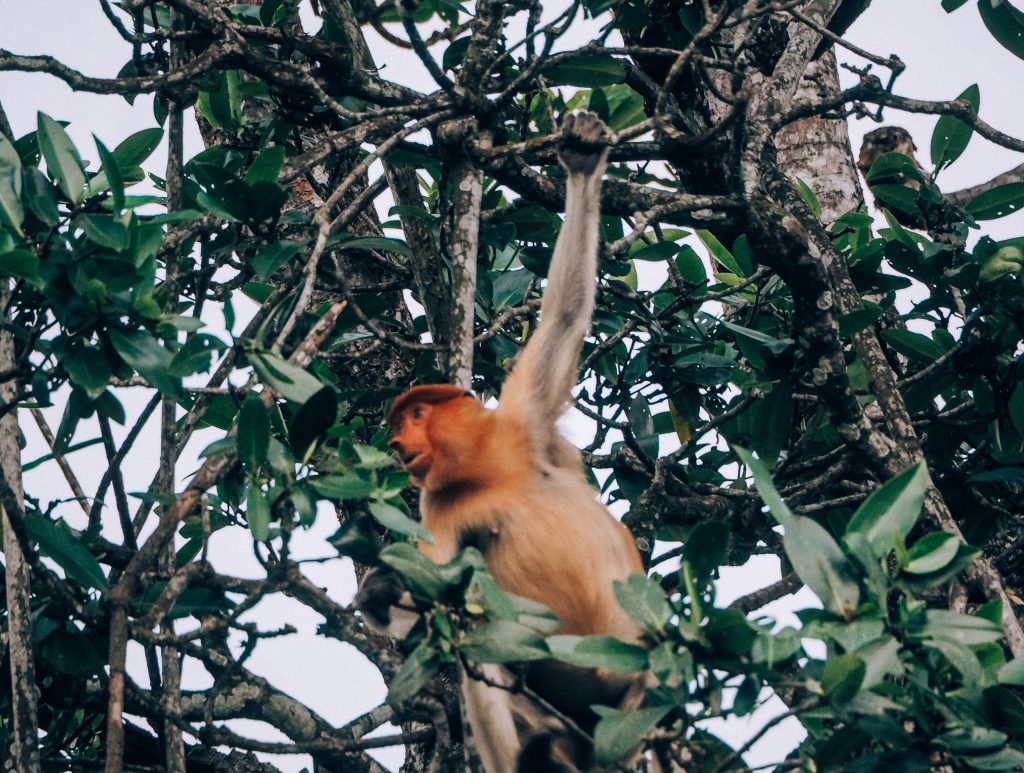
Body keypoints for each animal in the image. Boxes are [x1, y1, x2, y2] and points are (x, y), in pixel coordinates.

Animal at [356, 112, 647, 772]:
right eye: (400, 424)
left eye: (416, 414)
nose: (398, 442)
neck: (486, 469)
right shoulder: (435, 509)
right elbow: (436, 598)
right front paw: (379, 589)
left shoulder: (524, 421)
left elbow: (564, 316)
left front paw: (583, 156)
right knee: (480, 651)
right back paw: (537, 754)